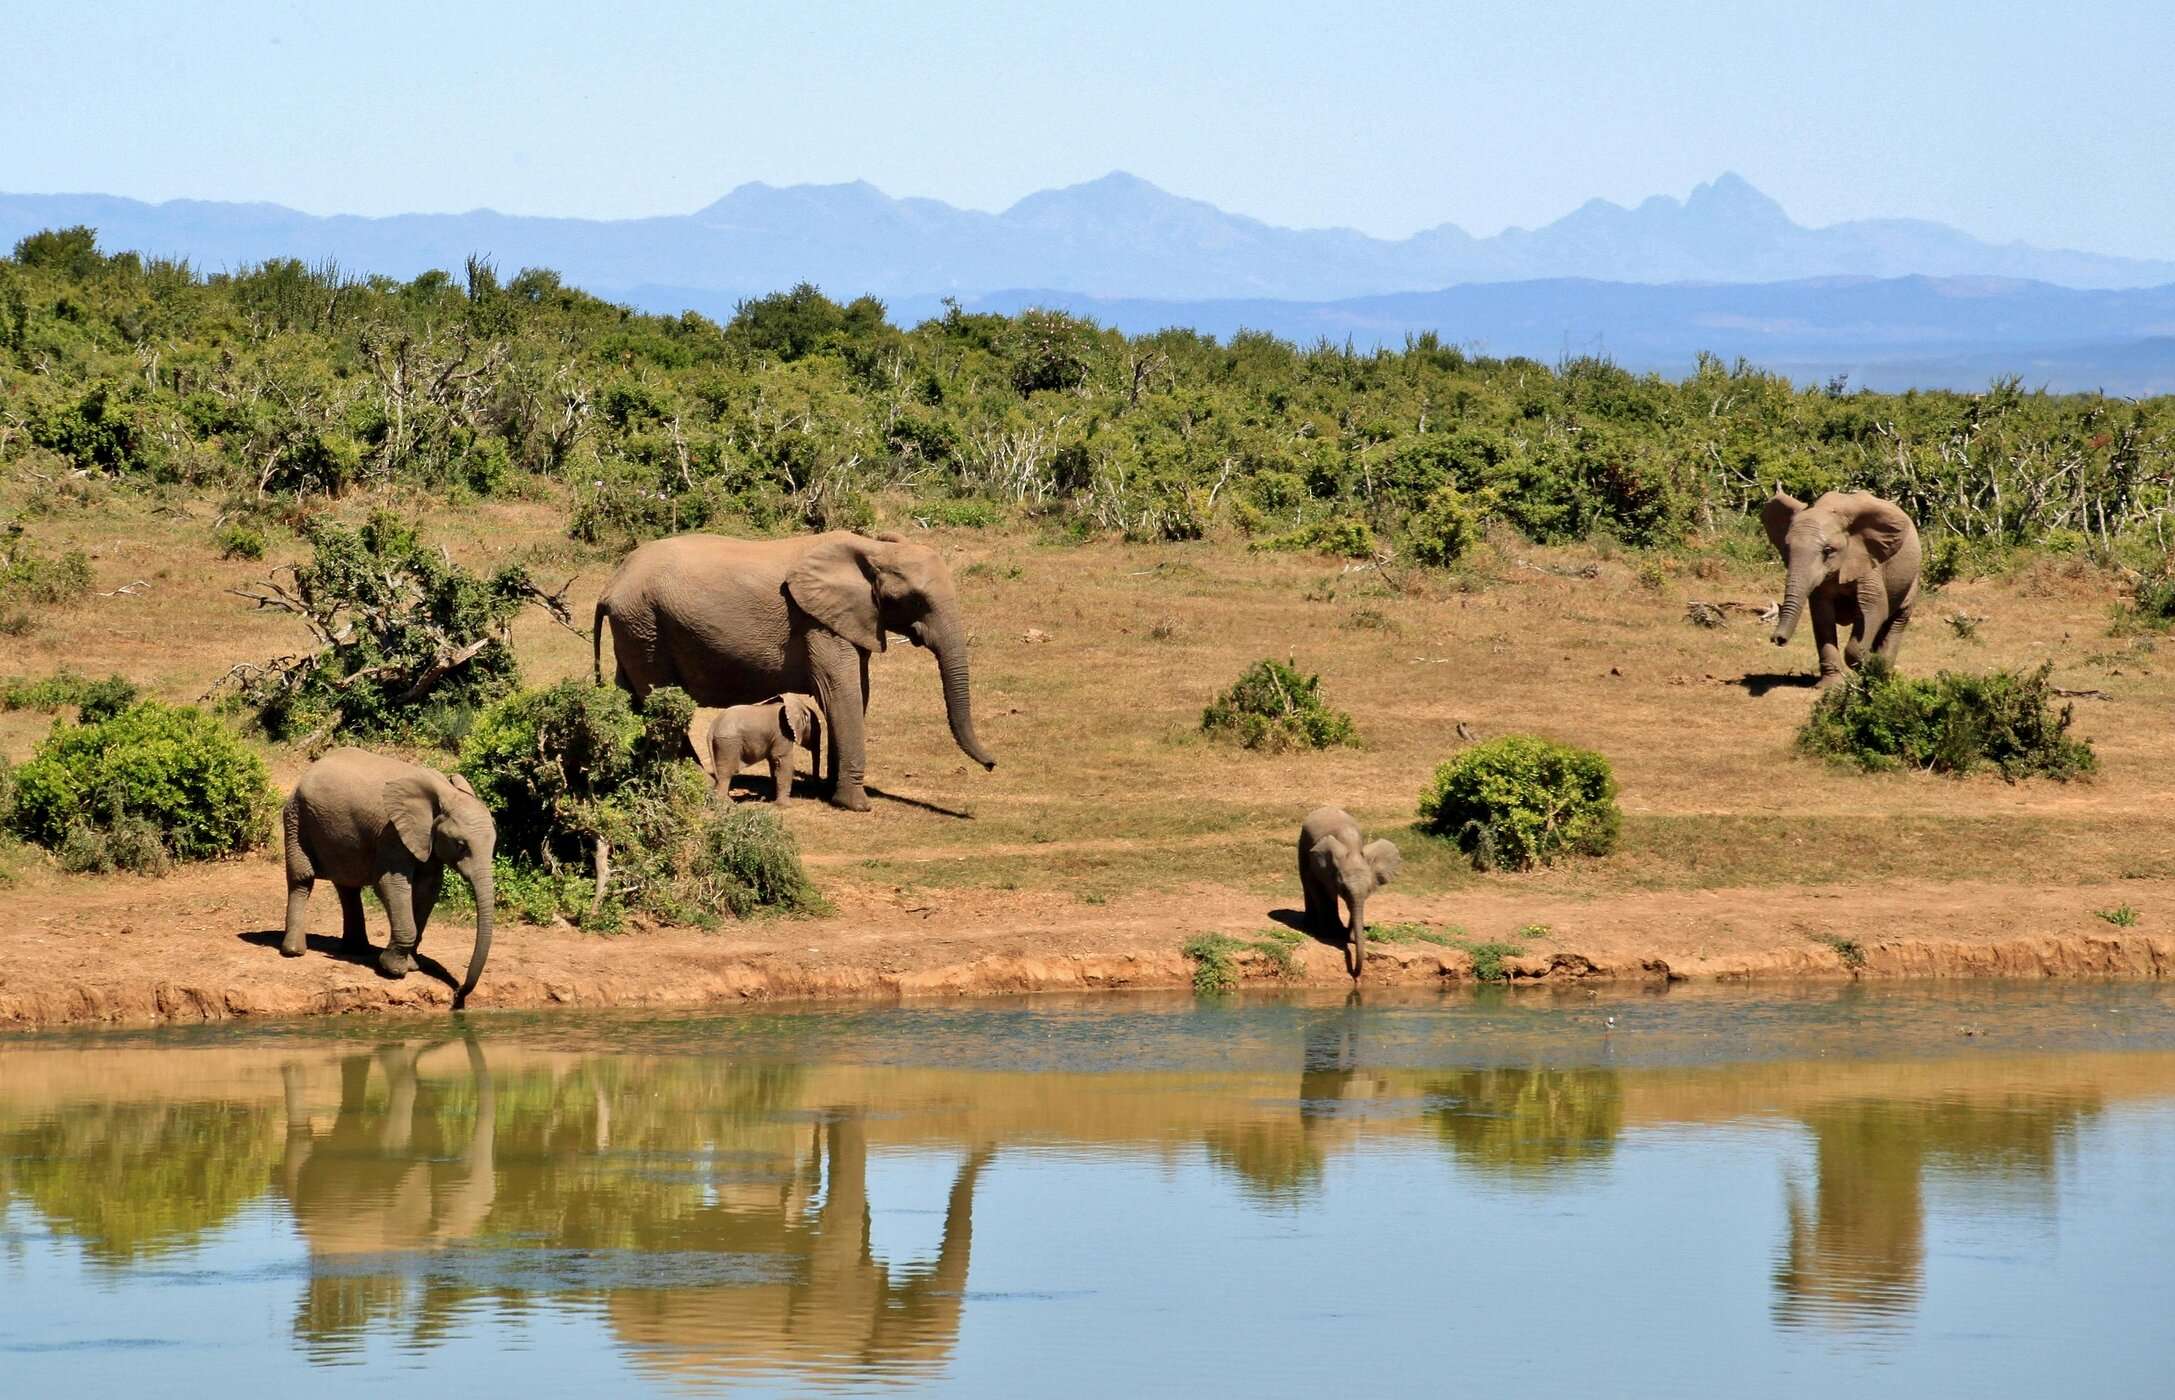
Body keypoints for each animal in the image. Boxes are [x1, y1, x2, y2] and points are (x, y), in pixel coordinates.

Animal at [280, 748, 495, 1005]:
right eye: (461, 845)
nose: (458, 993)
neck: (445, 794)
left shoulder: (426, 840)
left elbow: (428, 889)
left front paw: (411, 965)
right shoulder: (392, 832)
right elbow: (390, 884)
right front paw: (394, 970)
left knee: (347, 886)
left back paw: (356, 950)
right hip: (296, 817)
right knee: (302, 879)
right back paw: (294, 952)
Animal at [594, 529, 996, 812]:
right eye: (915, 600)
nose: (993, 765)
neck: (871, 549)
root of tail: (611, 583)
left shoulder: (850, 619)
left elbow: (857, 694)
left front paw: (832, 791)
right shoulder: (816, 623)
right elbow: (841, 693)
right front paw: (856, 805)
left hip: (635, 629)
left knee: (632, 696)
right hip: (646, 623)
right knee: (661, 700)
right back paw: (695, 782)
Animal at [1298, 807, 1402, 978]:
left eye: (1369, 891)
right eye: (1343, 889)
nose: (1354, 973)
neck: (1352, 849)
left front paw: (1349, 937)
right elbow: (1318, 888)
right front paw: (1329, 934)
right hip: (1302, 844)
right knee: (1307, 883)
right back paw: (1311, 925)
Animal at [1763, 489, 1922, 688]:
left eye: (1828, 550)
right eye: (1786, 548)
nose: (1777, 639)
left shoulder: (1868, 558)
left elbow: (1874, 607)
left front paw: (1871, 661)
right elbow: (1822, 616)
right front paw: (1831, 687)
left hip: (1913, 576)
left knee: (1898, 619)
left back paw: (1881, 674)